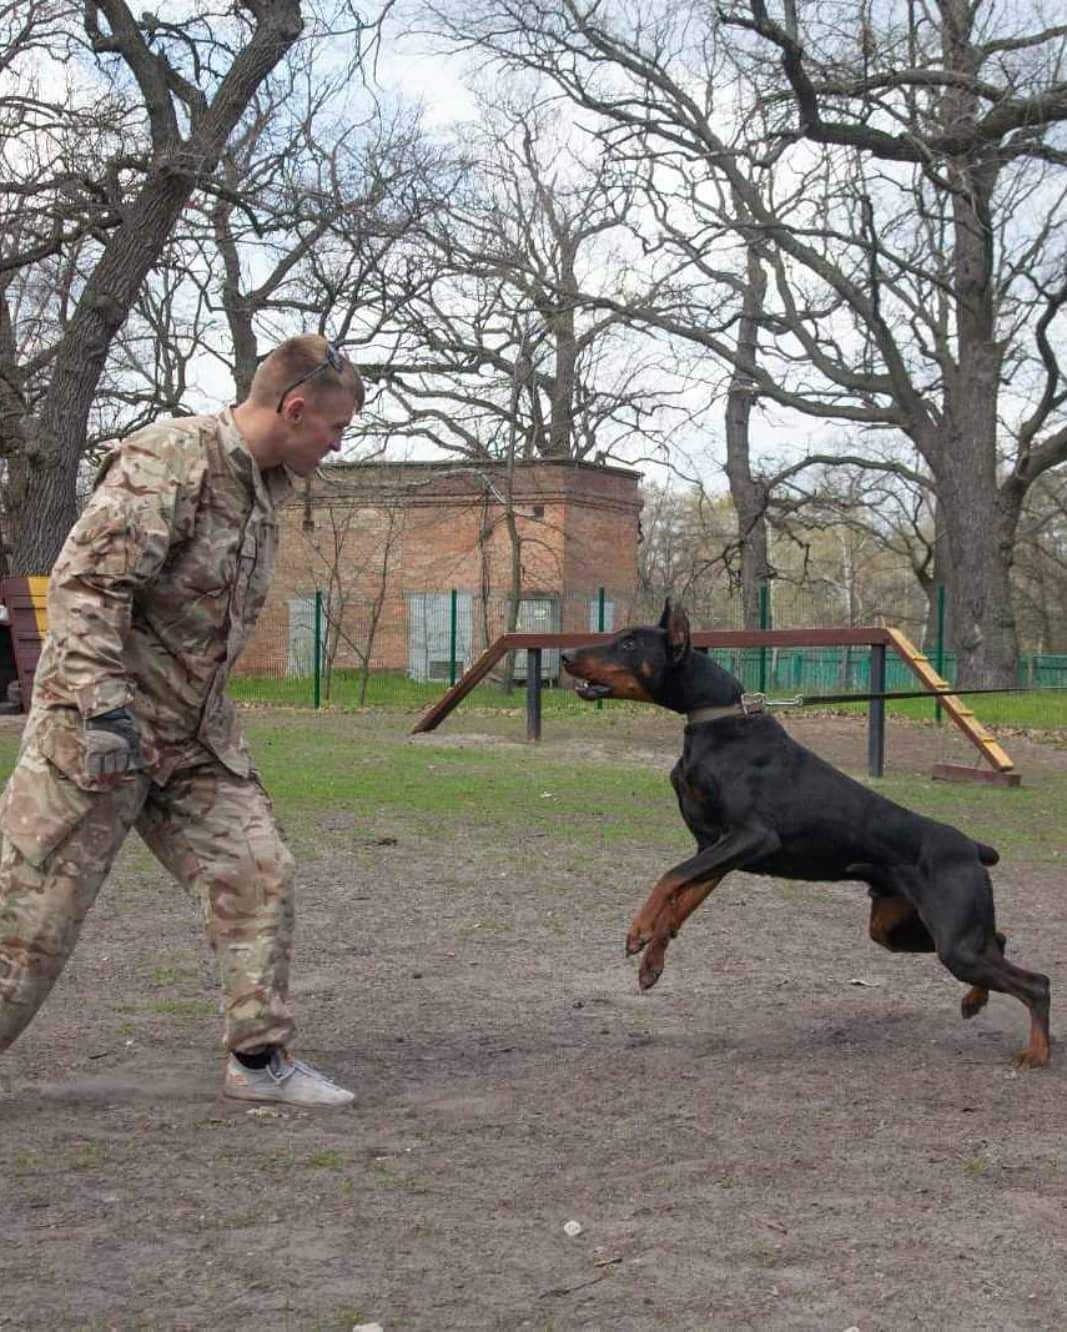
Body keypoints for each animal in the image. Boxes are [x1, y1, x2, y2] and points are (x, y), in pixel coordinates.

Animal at [556, 599, 1049, 1065]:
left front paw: (638, 930)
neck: (717, 720)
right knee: (999, 941)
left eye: (629, 643)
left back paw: (1036, 1053)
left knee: (1036, 982)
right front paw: (651, 964)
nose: (564, 655)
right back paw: (975, 1003)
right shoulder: (714, 847)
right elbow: (680, 903)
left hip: (953, 942)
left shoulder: (752, 836)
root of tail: (973, 848)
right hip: (895, 929)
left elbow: (670, 877)